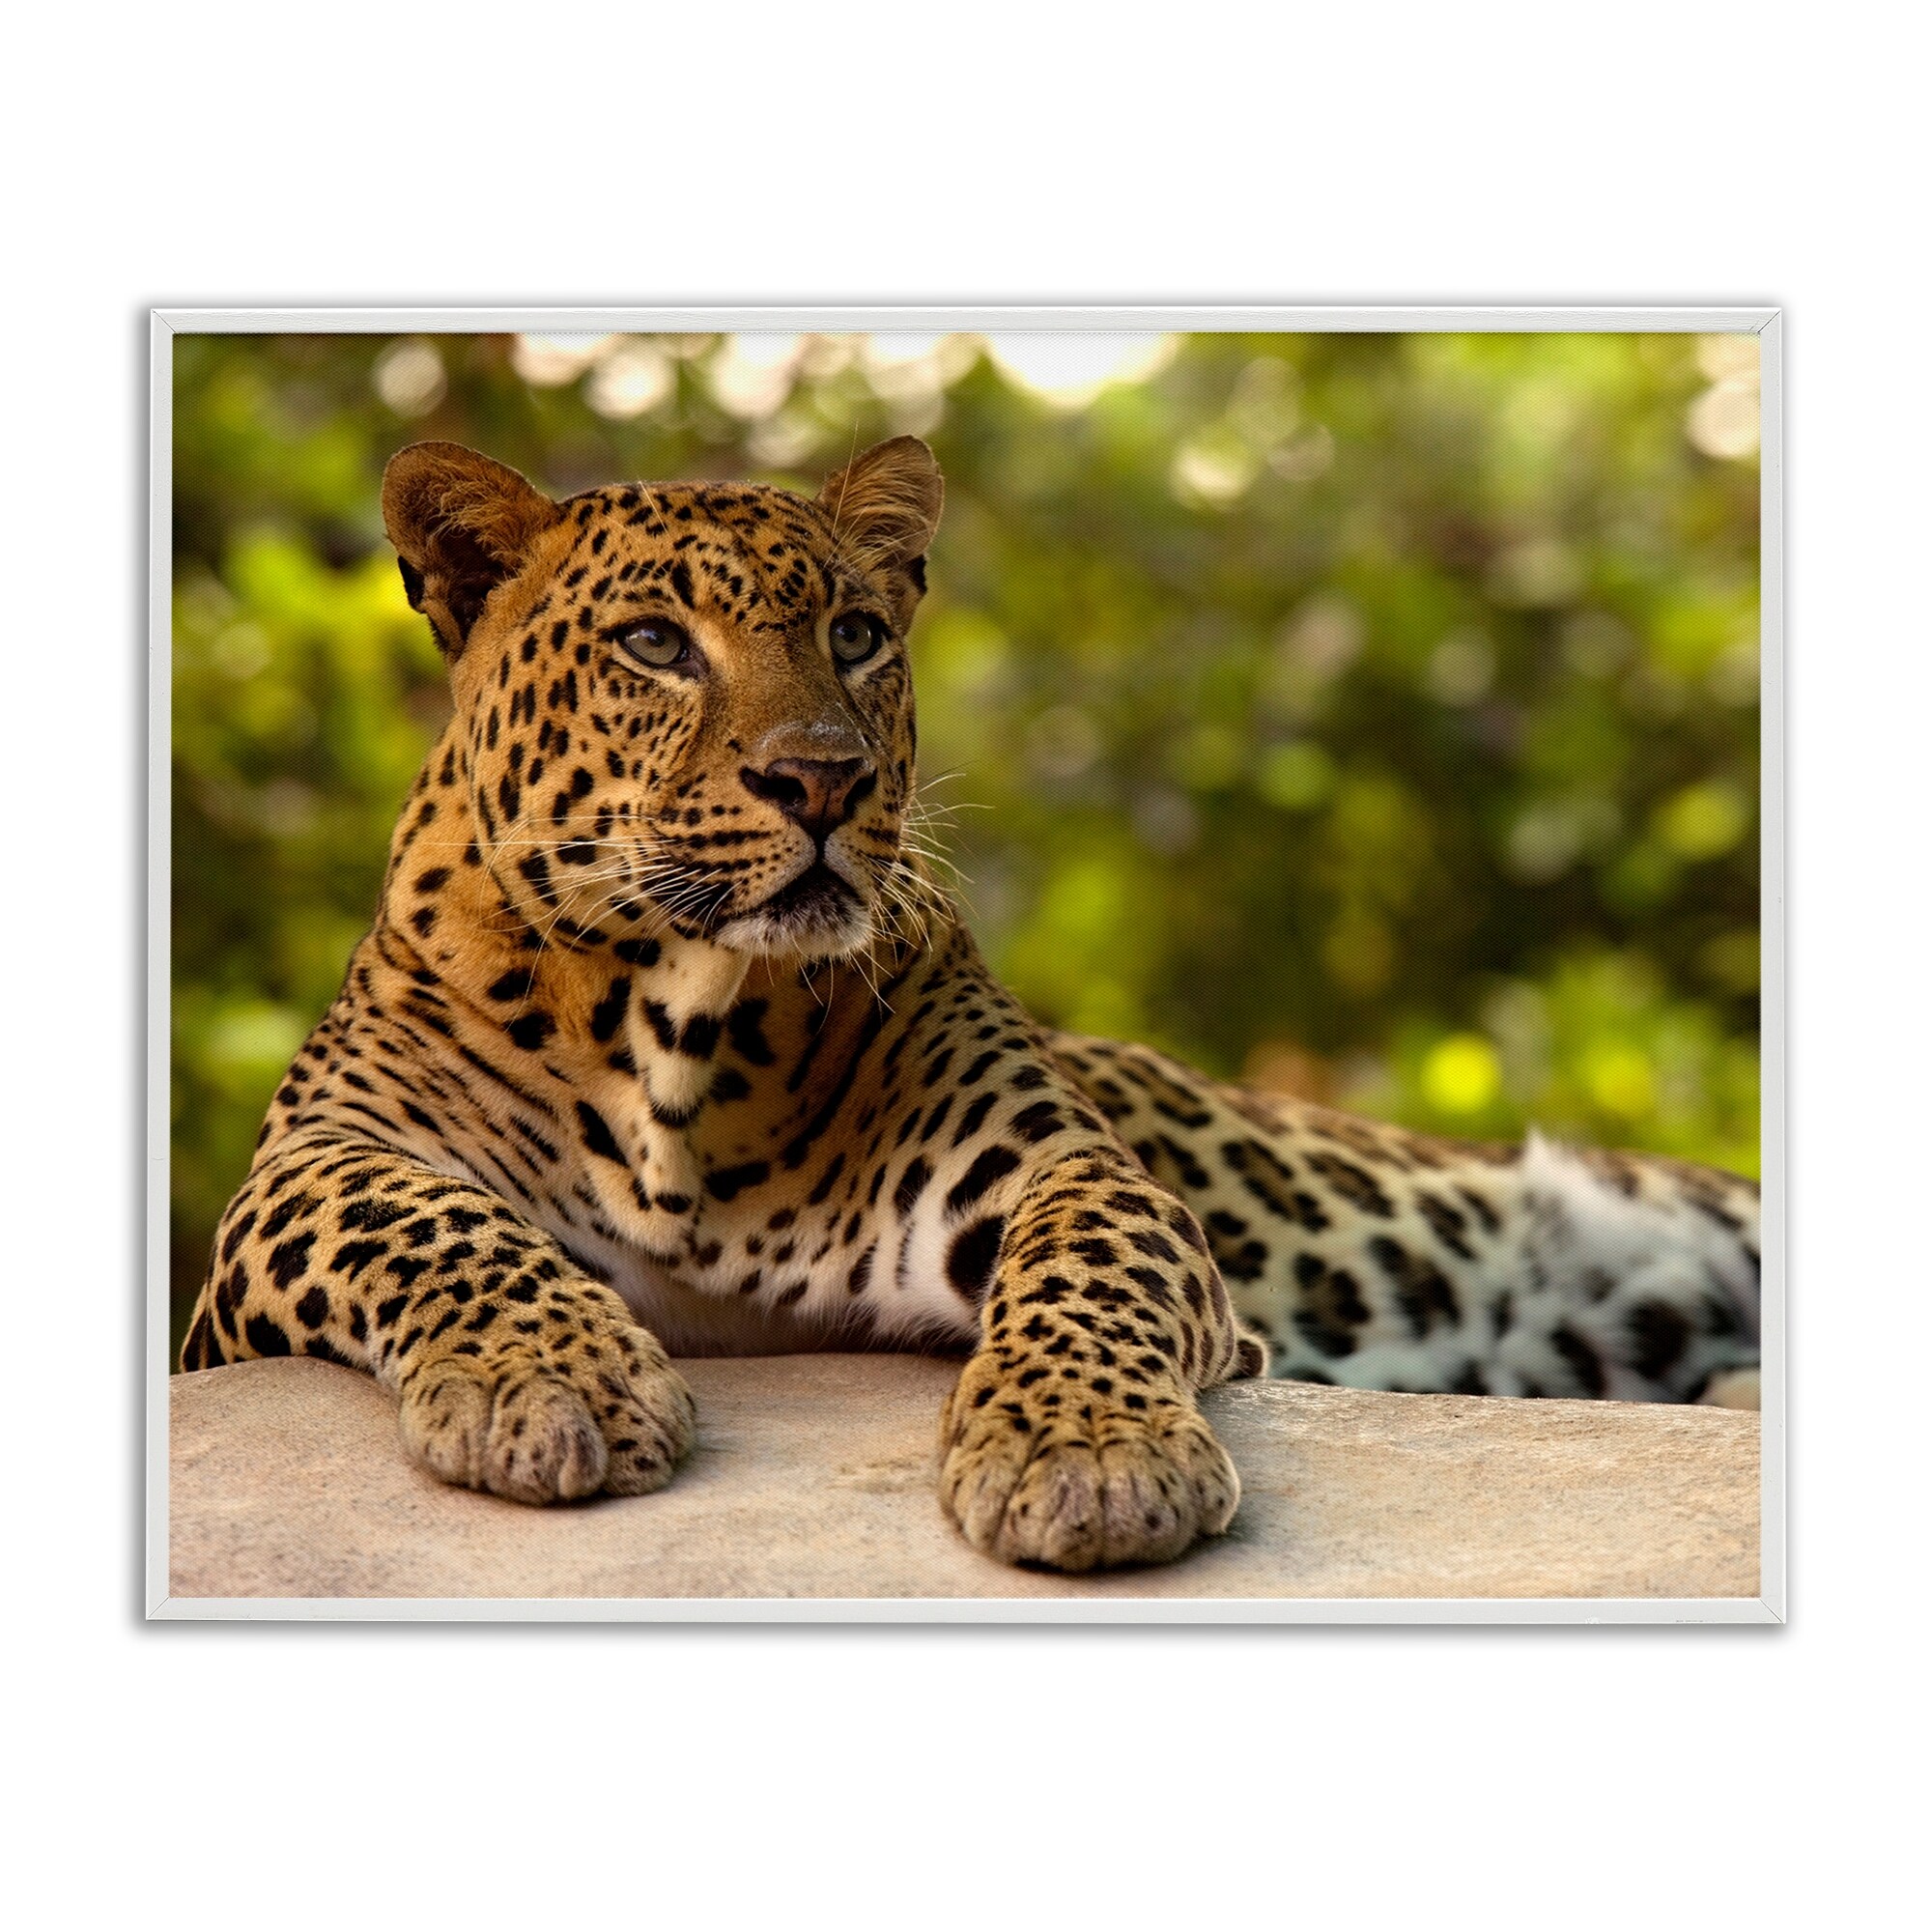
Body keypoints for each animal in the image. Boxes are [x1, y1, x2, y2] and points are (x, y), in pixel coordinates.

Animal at [179, 435, 1762, 1573]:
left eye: (857, 634)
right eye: (653, 644)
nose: (822, 780)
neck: (677, 1025)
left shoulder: (1051, 1162)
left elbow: (1086, 1266)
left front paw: (1087, 1456)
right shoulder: (295, 1182)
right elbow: (425, 1217)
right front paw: (551, 1381)